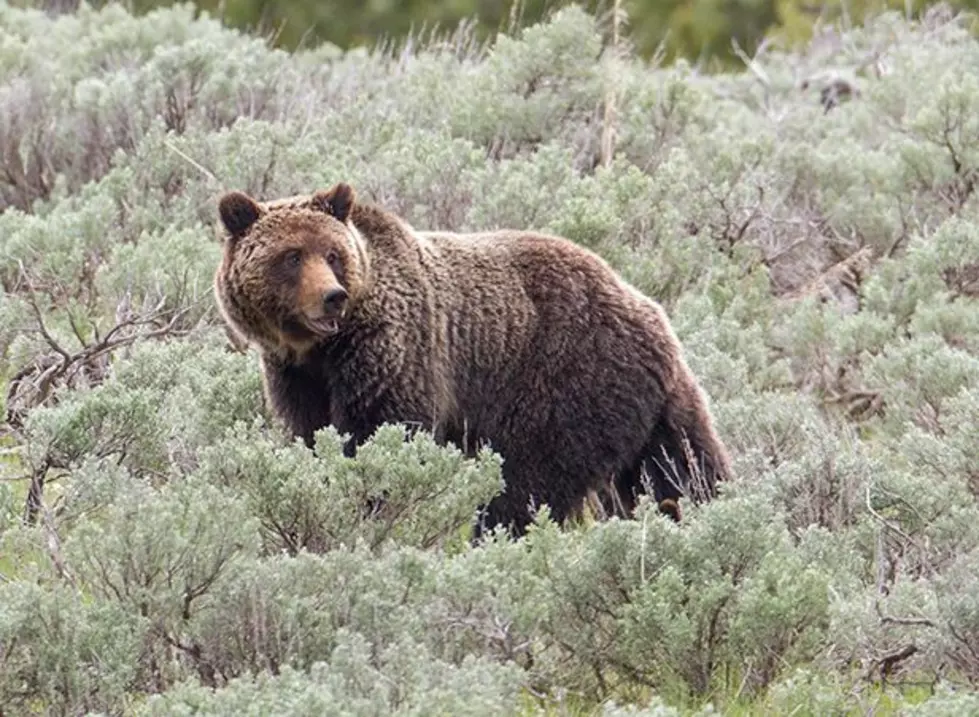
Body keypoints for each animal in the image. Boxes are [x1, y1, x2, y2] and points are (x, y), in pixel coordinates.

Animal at [216, 183, 736, 536]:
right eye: (291, 256)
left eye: (332, 253)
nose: (332, 297)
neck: (320, 349)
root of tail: (651, 312)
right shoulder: (296, 376)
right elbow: (312, 434)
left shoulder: (394, 351)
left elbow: (381, 433)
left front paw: (373, 505)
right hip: (651, 406)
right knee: (680, 468)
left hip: (565, 382)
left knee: (529, 483)